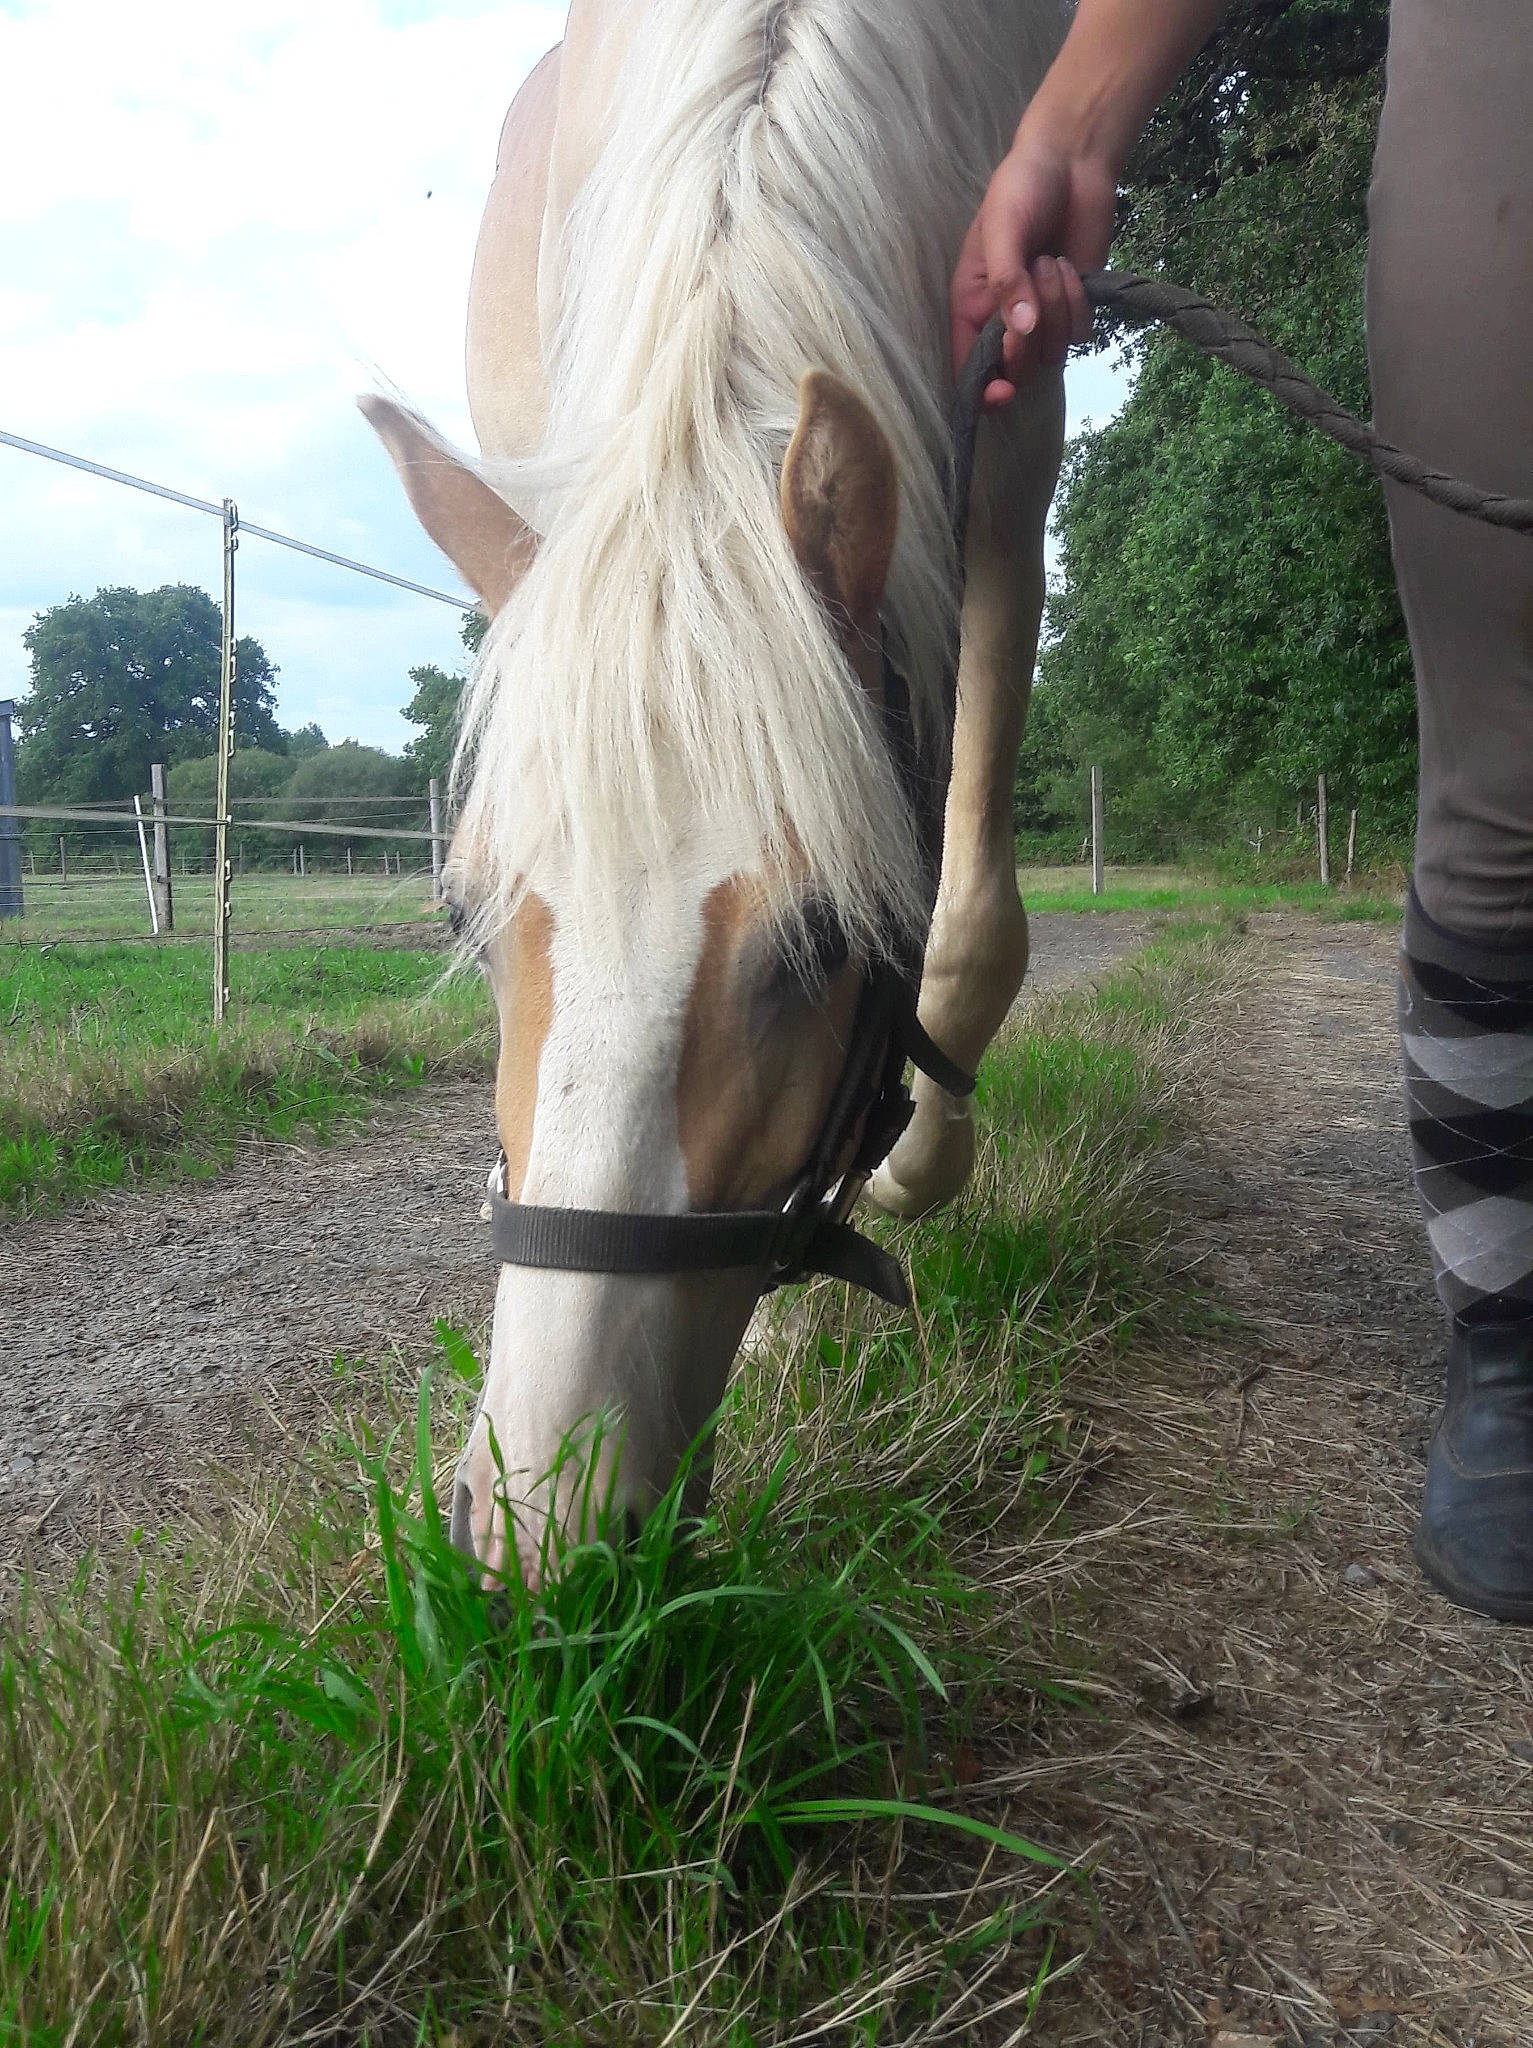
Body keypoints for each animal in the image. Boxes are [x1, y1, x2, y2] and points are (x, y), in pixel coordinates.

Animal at [363, 0, 1070, 1584]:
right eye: (467, 920)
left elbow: (972, 921)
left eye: (819, 941)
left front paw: (915, 1164)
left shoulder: (1011, 407)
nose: (540, 1530)